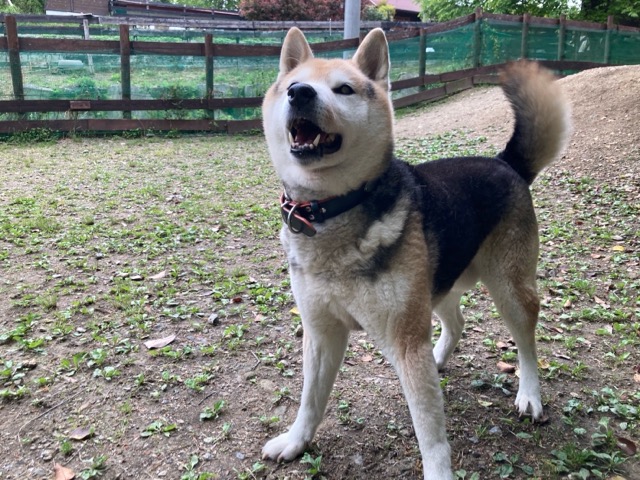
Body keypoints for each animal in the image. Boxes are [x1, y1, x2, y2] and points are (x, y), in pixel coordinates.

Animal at [260, 27, 570, 479]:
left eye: (344, 89)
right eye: (292, 85)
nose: (299, 93)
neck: (335, 208)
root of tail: (505, 162)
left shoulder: (405, 340)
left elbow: (429, 431)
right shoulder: (321, 332)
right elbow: (310, 400)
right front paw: (296, 441)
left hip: (509, 290)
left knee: (526, 342)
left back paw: (530, 394)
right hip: (435, 287)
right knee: (455, 322)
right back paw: (439, 358)